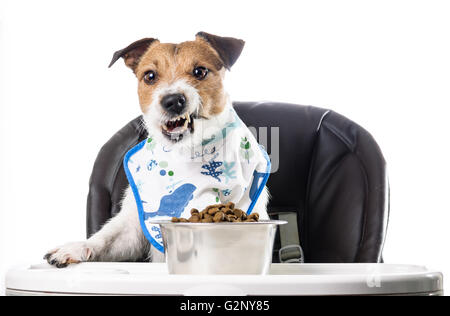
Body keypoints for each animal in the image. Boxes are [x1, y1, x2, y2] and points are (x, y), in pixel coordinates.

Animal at [44, 33, 270, 268]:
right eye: (150, 76)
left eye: (200, 71)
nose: (172, 101)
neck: (184, 152)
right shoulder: (132, 224)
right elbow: (107, 237)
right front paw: (75, 248)